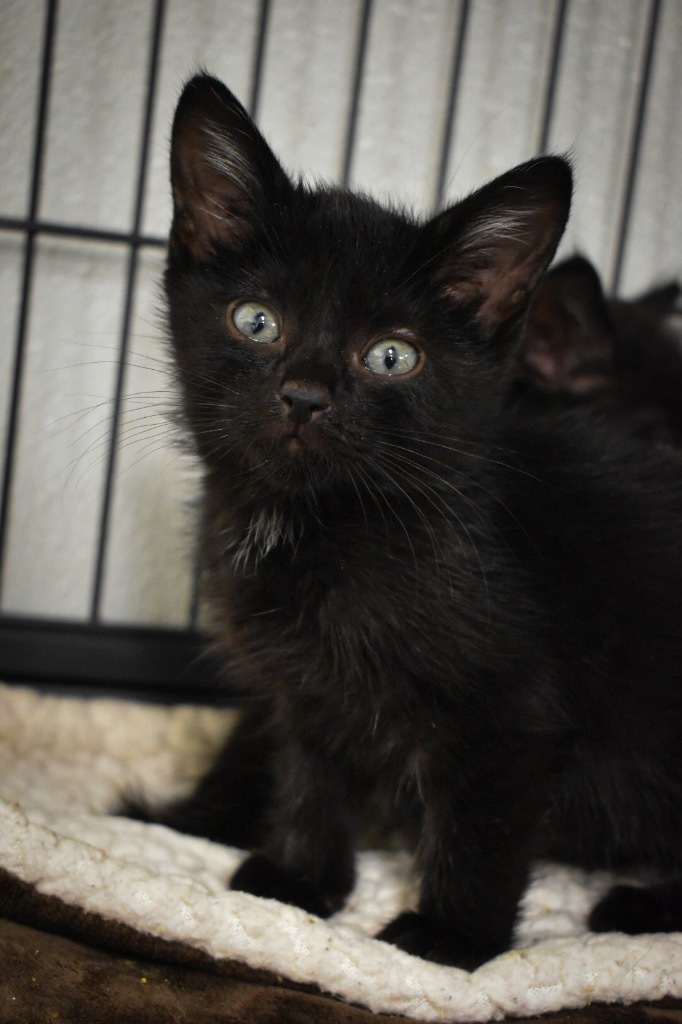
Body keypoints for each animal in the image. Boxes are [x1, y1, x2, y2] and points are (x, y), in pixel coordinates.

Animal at [160, 74, 679, 966]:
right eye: (255, 320)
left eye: (392, 356)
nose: (304, 396)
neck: (322, 524)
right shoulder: (306, 686)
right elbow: (309, 772)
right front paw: (297, 886)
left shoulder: (510, 709)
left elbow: (479, 827)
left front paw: (446, 938)